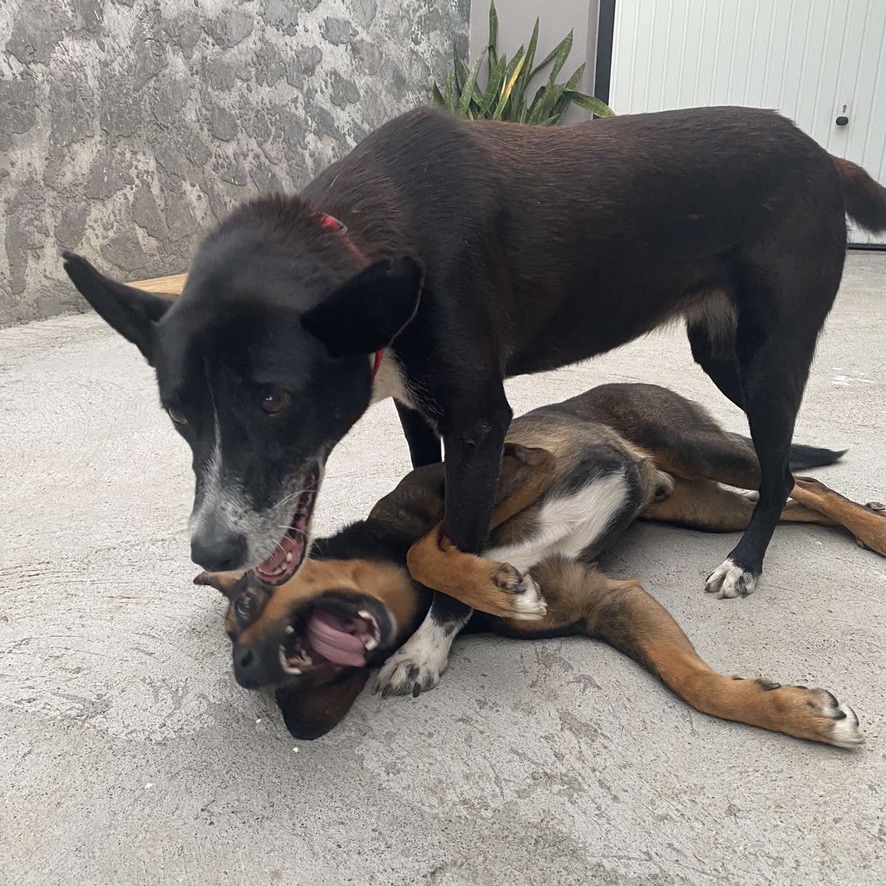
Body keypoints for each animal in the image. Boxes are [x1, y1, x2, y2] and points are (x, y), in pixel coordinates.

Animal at [64, 106, 886, 692]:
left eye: (272, 401)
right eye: (178, 414)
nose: (211, 550)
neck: (369, 245)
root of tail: (824, 155)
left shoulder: (482, 424)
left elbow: (443, 545)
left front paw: (433, 645)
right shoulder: (417, 408)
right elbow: (430, 513)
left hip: (768, 360)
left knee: (781, 470)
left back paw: (747, 563)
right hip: (719, 356)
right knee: (789, 472)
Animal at [199, 386, 886, 744]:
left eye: (247, 603)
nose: (247, 669)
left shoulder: (519, 465)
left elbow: (430, 551)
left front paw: (482, 595)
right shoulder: (611, 602)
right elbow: (695, 683)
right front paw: (801, 713)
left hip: (696, 447)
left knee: (795, 479)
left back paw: (870, 530)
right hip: (698, 506)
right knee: (788, 501)